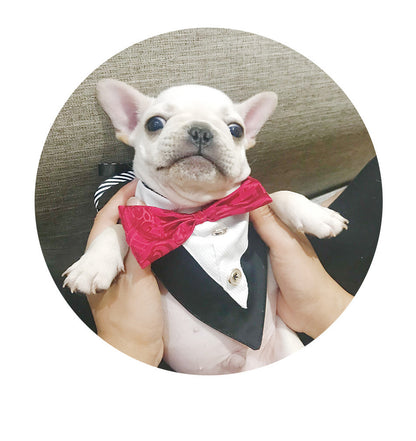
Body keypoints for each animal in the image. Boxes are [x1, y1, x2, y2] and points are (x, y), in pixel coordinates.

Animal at [63, 79, 350, 372]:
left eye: (236, 130)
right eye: (154, 123)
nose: (201, 130)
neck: (197, 211)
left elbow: (276, 195)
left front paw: (316, 213)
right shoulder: (139, 216)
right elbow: (118, 227)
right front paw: (93, 264)